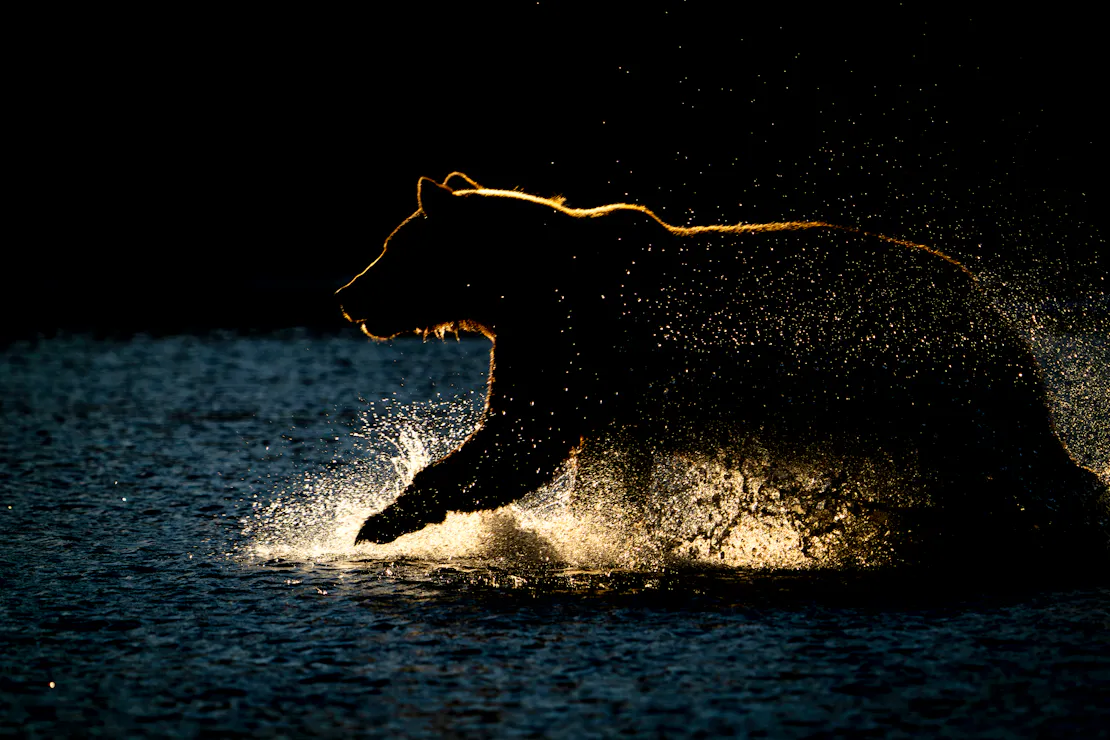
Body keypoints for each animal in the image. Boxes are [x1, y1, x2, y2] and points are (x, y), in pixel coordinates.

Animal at [337, 172, 1108, 565]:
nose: (348, 295)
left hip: (932, 386)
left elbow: (518, 442)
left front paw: (379, 519)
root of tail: (987, 302)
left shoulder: (570, 345)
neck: (519, 286)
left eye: (391, 246)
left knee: (1020, 461)